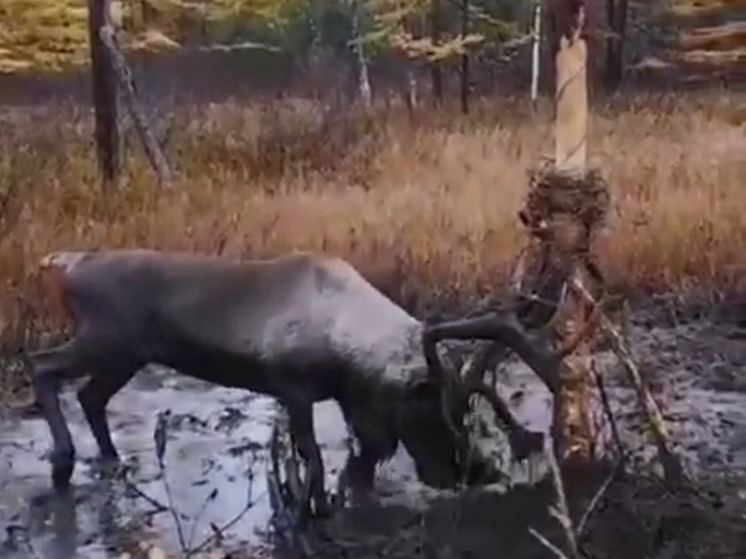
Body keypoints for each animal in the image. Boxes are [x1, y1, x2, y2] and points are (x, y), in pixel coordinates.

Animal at [26, 248, 563, 519]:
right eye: (432, 410)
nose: (471, 475)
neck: (348, 338)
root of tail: (64, 265)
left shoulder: (350, 400)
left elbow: (362, 461)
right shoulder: (294, 387)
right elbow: (315, 457)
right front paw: (315, 506)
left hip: (124, 357)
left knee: (88, 396)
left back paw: (111, 461)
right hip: (107, 343)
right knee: (42, 366)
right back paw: (63, 459)